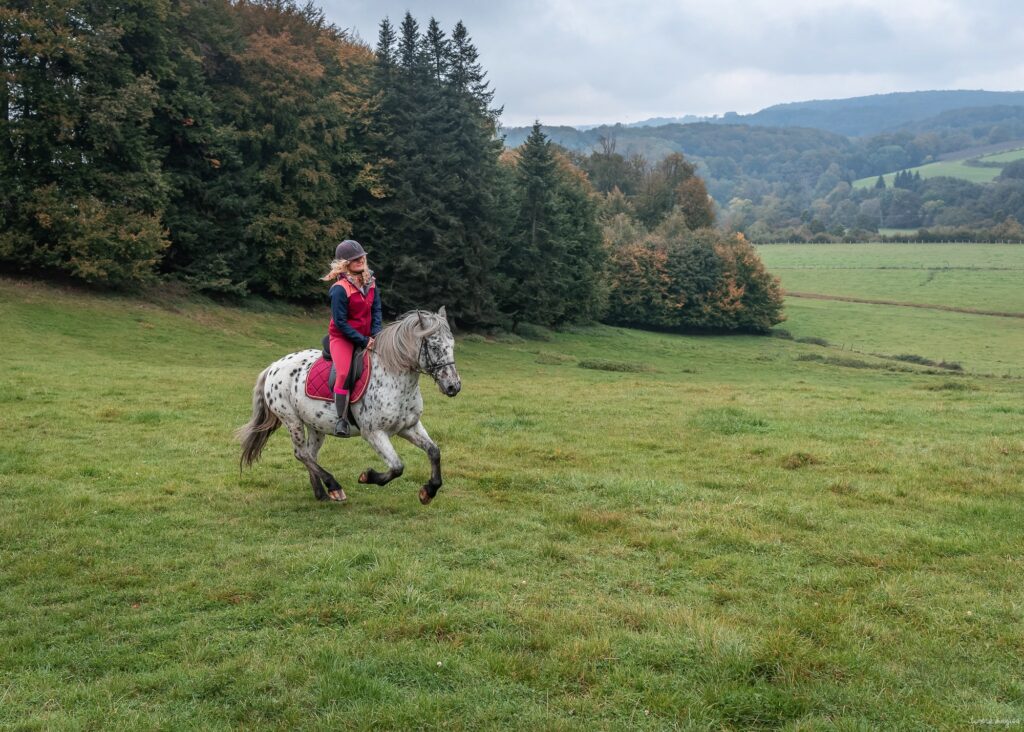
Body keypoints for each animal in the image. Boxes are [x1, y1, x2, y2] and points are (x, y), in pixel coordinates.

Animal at [236, 308, 461, 505]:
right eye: (434, 347)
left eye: (452, 345)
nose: (454, 386)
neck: (393, 377)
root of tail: (274, 366)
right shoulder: (373, 433)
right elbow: (397, 467)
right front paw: (367, 476)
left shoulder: (409, 426)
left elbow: (434, 452)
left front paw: (428, 491)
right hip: (292, 421)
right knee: (301, 454)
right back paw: (334, 486)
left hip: (315, 425)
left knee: (310, 454)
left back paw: (322, 493)